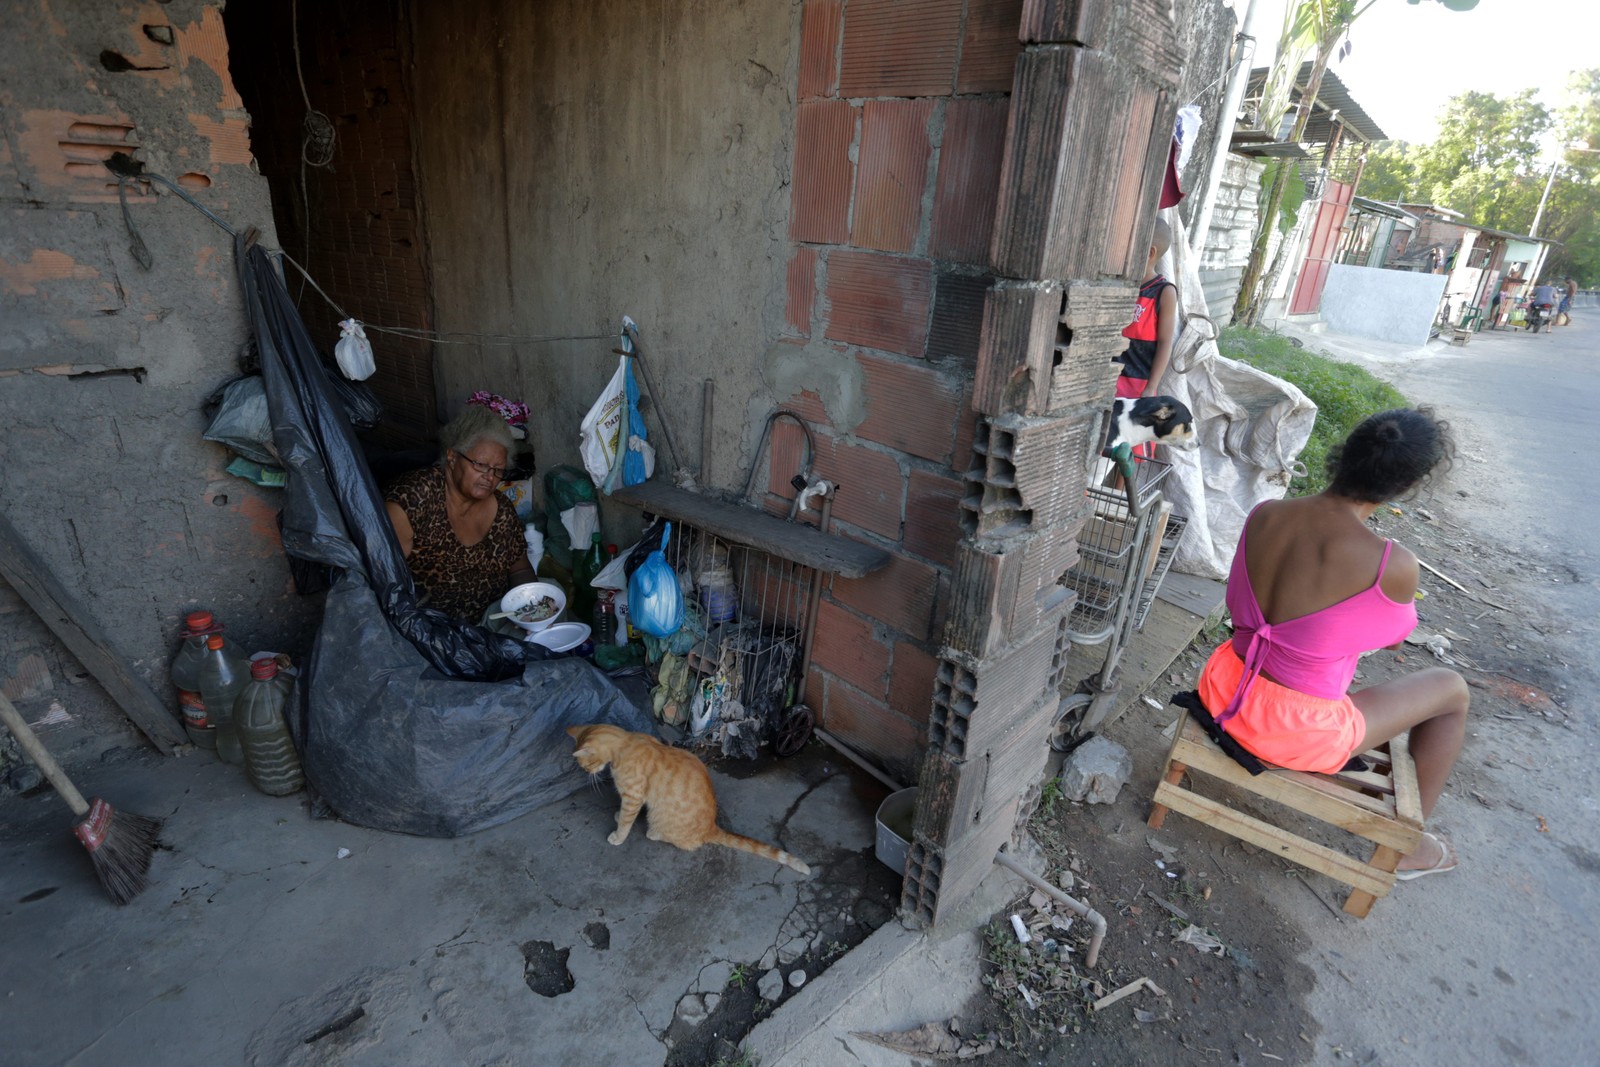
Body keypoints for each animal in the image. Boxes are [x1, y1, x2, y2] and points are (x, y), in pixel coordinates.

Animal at [566, 726, 812, 876]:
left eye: (585, 765)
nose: (586, 773)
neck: (625, 743)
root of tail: (711, 827)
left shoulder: (633, 797)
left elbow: (627, 820)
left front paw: (618, 835)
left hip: (660, 817)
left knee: (685, 842)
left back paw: (654, 833)